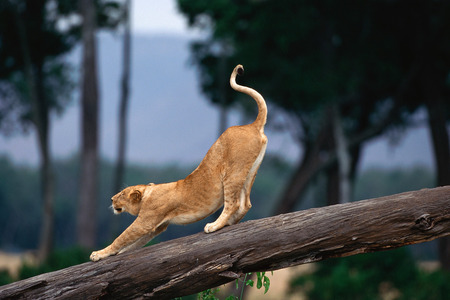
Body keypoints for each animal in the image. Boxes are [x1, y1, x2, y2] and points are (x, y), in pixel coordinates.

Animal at [91, 64, 268, 262]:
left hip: (232, 172)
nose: (111, 199)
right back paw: (228, 223)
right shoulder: (157, 226)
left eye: (122, 194)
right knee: (246, 204)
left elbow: (121, 237)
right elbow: (134, 244)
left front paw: (99, 254)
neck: (148, 194)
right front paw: (118, 253)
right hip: (251, 170)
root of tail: (252, 125)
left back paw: (215, 225)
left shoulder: (146, 220)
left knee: (233, 203)